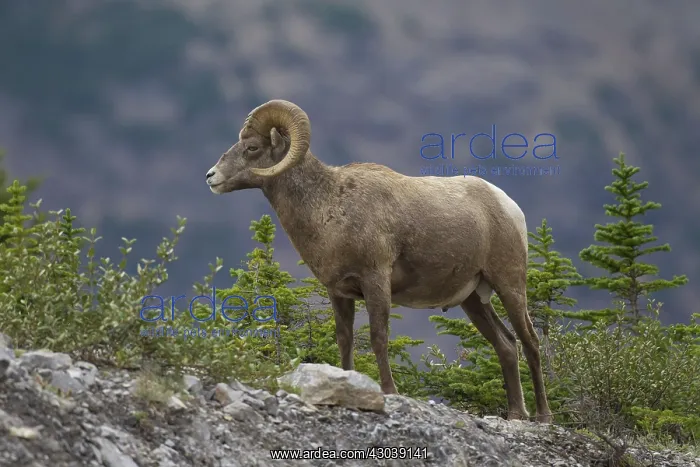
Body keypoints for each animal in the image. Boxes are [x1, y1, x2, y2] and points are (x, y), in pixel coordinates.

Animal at [205, 99, 553, 423]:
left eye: (252, 147)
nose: (211, 177)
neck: (329, 206)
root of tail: (508, 206)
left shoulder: (375, 283)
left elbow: (378, 338)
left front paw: (389, 391)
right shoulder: (339, 292)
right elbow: (344, 340)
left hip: (509, 286)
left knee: (530, 342)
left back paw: (542, 415)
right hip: (473, 300)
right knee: (506, 345)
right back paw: (516, 414)